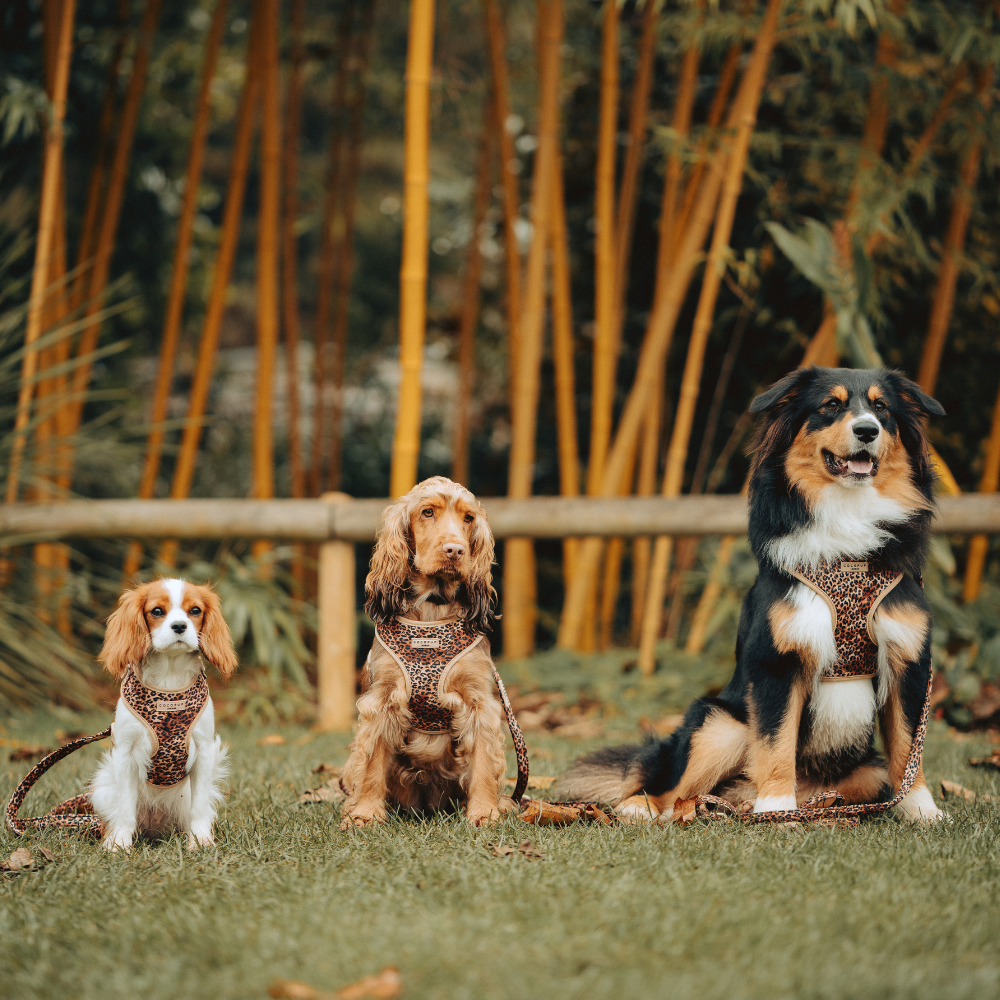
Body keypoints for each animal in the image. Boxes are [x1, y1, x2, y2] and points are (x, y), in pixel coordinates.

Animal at [90, 580, 238, 852]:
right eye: (157, 611)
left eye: (195, 611)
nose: (179, 625)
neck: (170, 680)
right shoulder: (125, 755)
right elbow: (125, 810)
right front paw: (119, 845)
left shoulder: (204, 752)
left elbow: (199, 810)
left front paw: (200, 842)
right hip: (104, 787)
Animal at [342, 476, 512, 828]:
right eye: (428, 512)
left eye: (468, 517)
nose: (455, 550)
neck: (433, 607)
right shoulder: (383, 701)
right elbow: (372, 764)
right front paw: (365, 814)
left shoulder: (478, 702)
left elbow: (483, 763)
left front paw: (484, 813)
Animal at [564, 368, 944, 820]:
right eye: (830, 405)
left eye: (881, 407)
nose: (867, 430)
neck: (849, 526)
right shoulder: (778, 658)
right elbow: (776, 742)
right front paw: (777, 810)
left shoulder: (908, 660)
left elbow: (908, 747)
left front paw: (923, 811)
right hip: (720, 724)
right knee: (669, 789)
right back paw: (649, 808)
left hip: (868, 773)